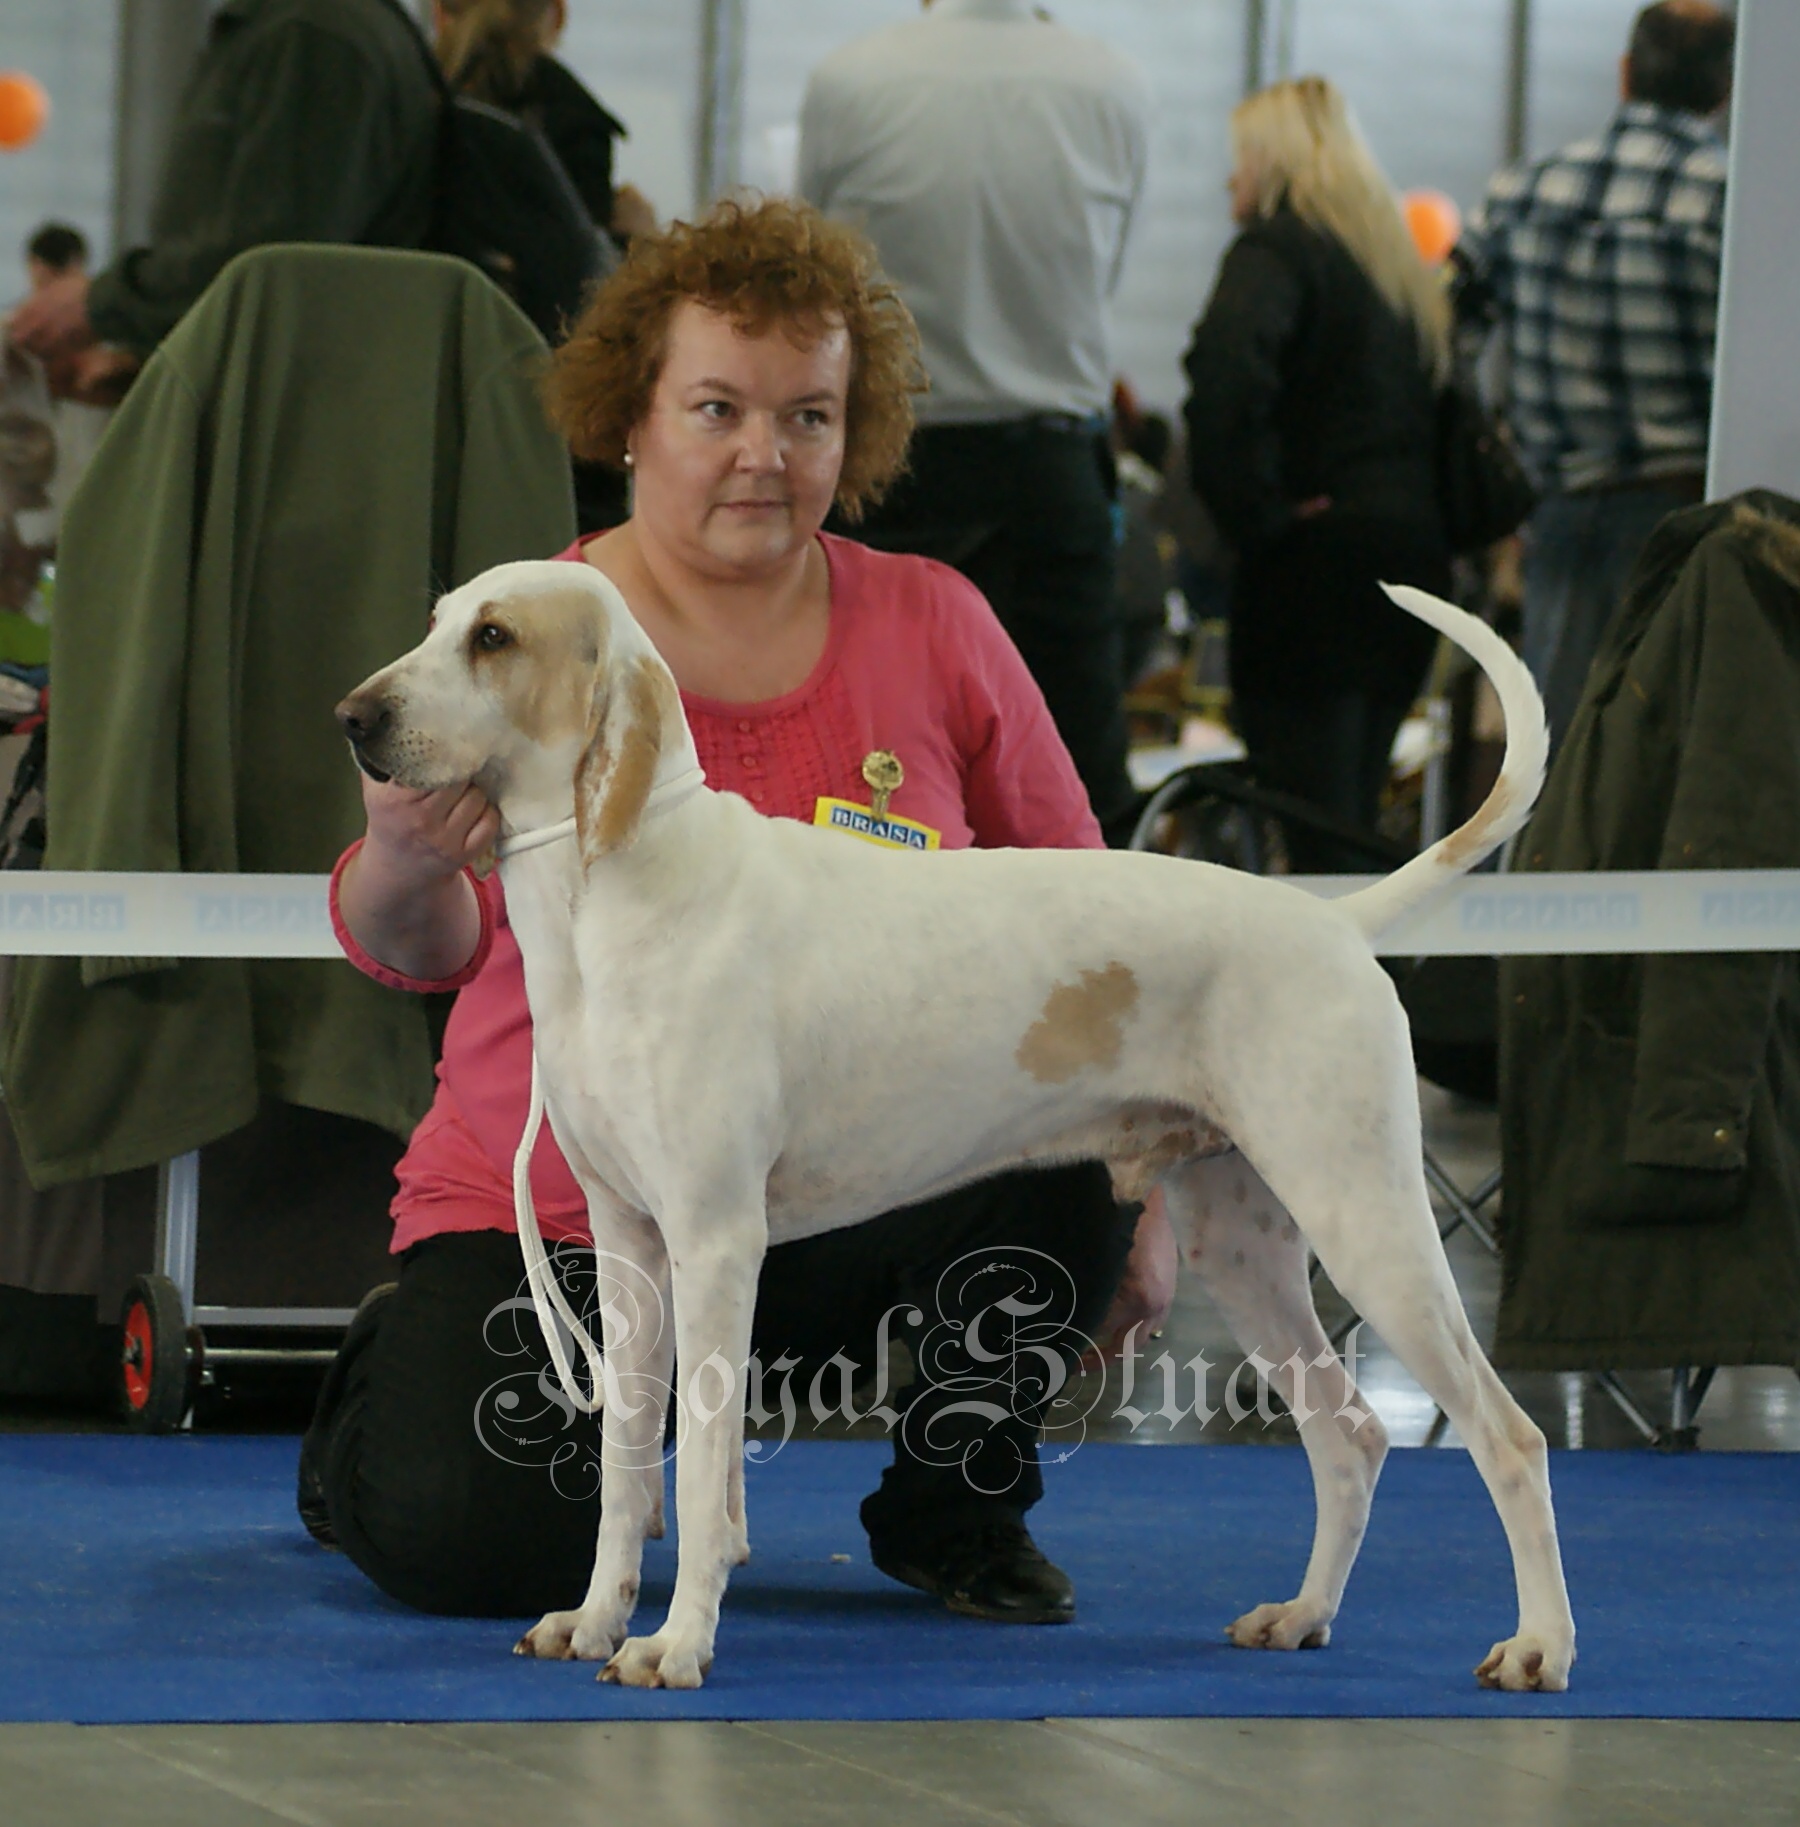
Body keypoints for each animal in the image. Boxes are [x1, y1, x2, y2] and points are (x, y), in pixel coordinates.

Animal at [336, 559, 1571, 1695]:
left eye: (494, 638)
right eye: (439, 622)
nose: (354, 716)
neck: (621, 896)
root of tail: (1333, 919)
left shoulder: (715, 1240)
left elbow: (696, 1474)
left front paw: (677, 1644)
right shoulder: (629, 1247)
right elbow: (630, 1464)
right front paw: (595, 1621)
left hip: (1367, 1218)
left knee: (1507, 1437)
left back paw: (1539, 1646)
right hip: (1248, 1243)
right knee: (1348, 1433)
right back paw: (1302, 1614)